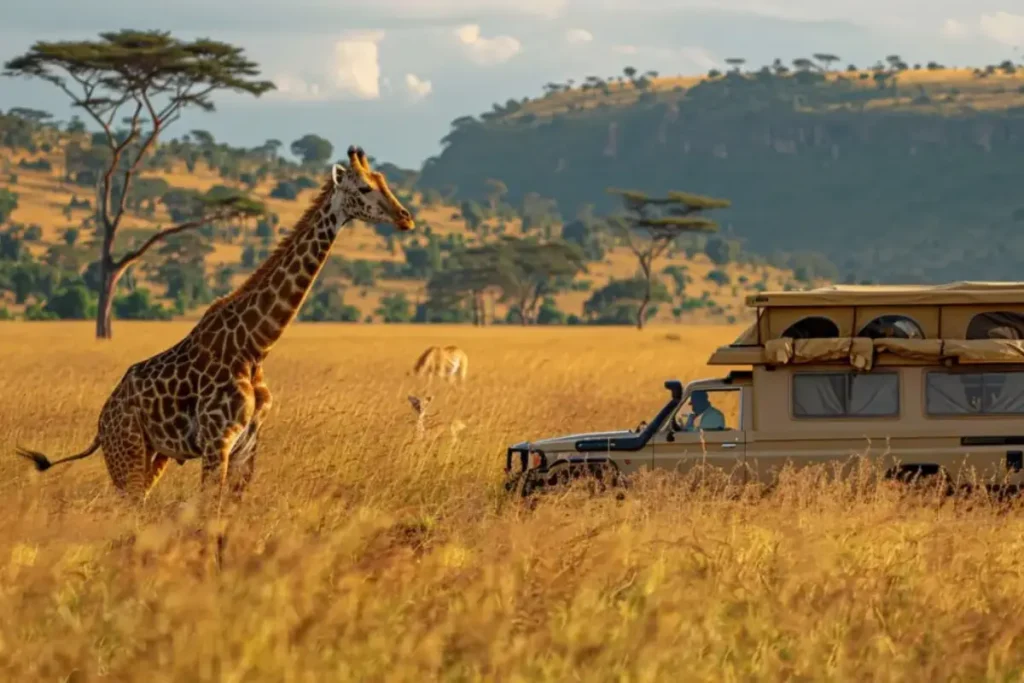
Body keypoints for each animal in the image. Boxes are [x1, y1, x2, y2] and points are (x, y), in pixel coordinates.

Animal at [16, 145, 414, 504]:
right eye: (364, 188)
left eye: (384, 181)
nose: (406, 217)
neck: (256, 345)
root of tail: (101, 422)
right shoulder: (216, 442)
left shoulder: (246, 447)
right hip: (126, 453)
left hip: (155, 456)